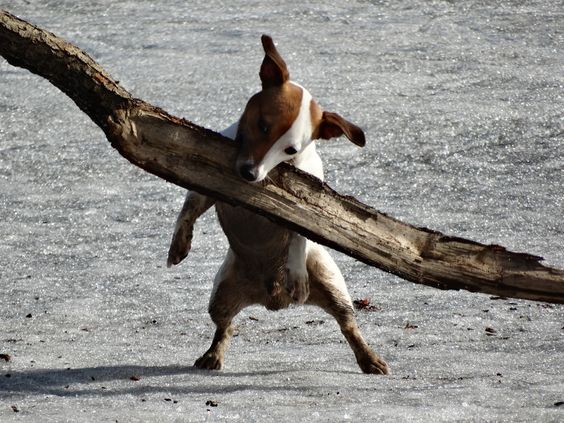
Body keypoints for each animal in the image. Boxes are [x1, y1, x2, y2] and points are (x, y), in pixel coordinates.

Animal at [167, 35, 388, 374]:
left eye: (291, 149)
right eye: (262, 124)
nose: (249, 173)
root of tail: (271, 299)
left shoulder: (307, 206)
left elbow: (298, 233)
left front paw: (295, 274)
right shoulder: (209, 181)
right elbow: (190, 207)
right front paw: (179, 245)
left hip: (333, 286)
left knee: (348, 324)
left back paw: (369, 358)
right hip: (221, 292)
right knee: (225, 325)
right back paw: (212, 354)